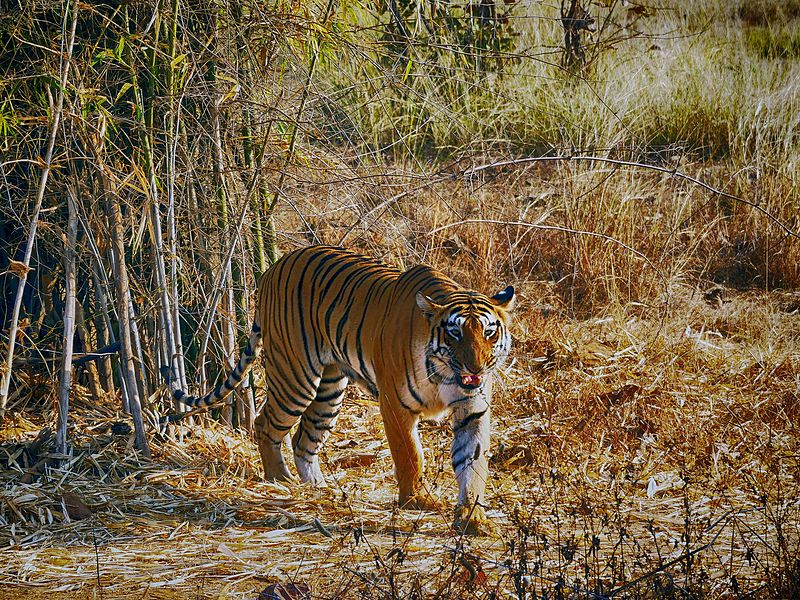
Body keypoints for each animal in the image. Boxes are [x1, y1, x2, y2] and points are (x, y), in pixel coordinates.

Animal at [162, 245, 515, 533]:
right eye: (455, 333)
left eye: (489, 332)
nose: (476, 368)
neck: (445, 373)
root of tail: (271, 269)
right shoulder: (395, 405)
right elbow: (410, 455)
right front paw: (417, 500)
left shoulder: (472, 410)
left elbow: (473, 462)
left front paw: (472, 517)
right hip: (295, 379)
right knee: (265, 425)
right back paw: (280, 480)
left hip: (329, 390)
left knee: (303, 439)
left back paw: (318, 487)